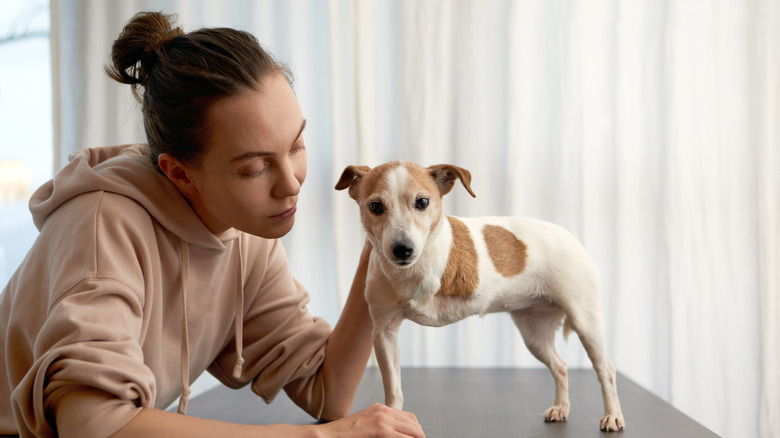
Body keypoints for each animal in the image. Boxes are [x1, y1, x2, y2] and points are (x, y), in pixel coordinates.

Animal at [336, 161, 628, 432]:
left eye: (422, 202)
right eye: (375, 207)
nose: (403, 249)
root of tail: (572, 239)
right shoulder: (384, 332)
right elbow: (394, 389)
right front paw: (392, 420)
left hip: (586, 323)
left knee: (606, 371)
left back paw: (613, 415)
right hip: (534, 335)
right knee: (561, 366)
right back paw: (561, 407)